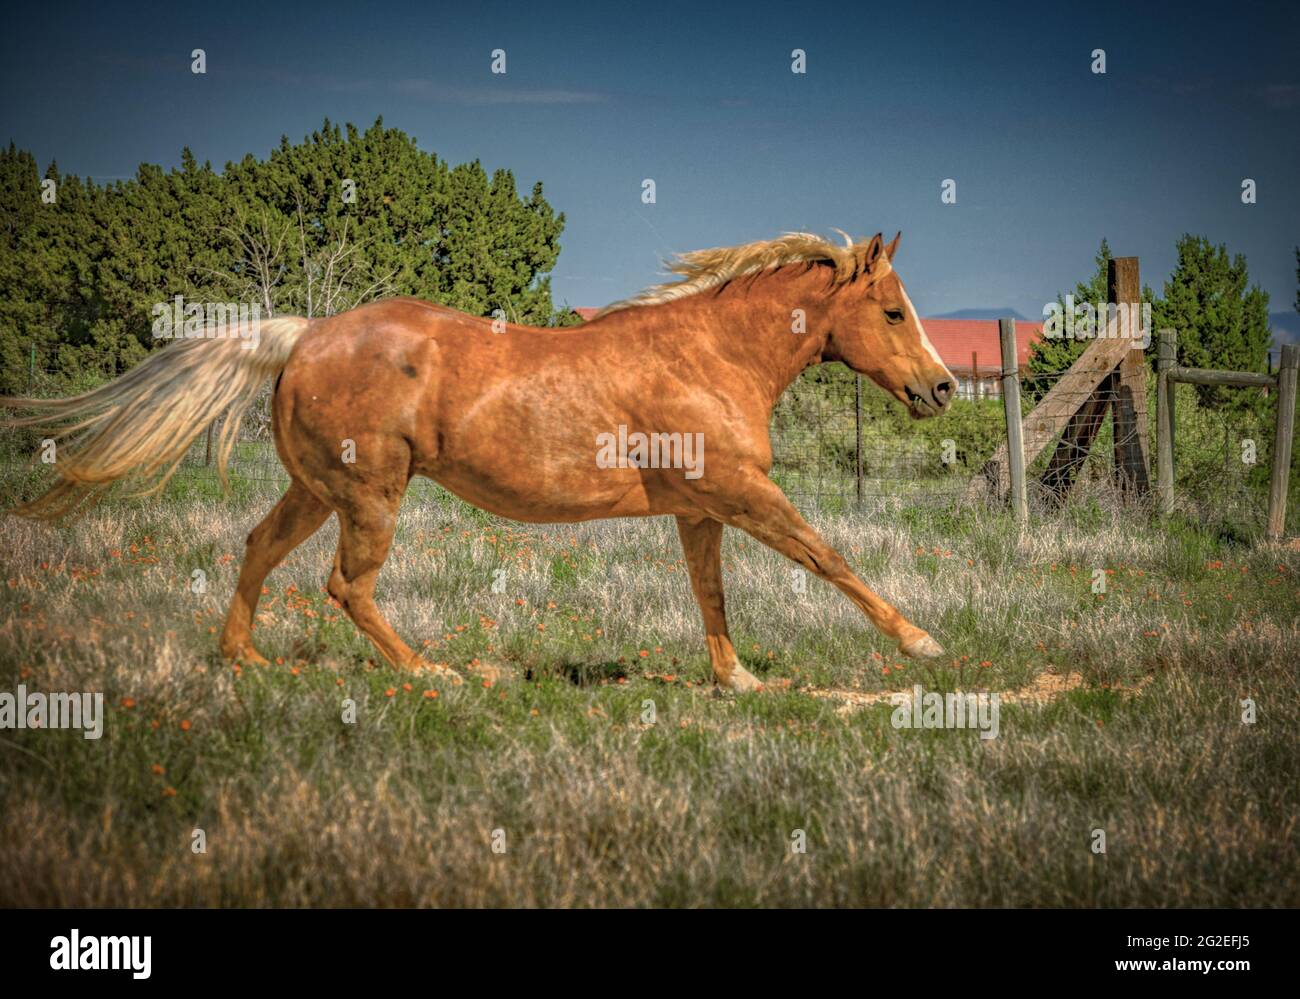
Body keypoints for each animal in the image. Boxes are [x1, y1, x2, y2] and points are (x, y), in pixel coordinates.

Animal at [0, 230, 956, 692]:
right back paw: (436, 672)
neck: (707, 354)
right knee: (347, 585)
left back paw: (249, 662)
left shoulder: (701, 506)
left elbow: (709, 593)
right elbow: (825, 555)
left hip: (317, 490)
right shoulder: (739, 489)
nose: (944, 388)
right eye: (894, 310)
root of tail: (305, 334)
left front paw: (739, 679)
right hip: (371, 495)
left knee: (259, 548)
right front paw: (922, 642)